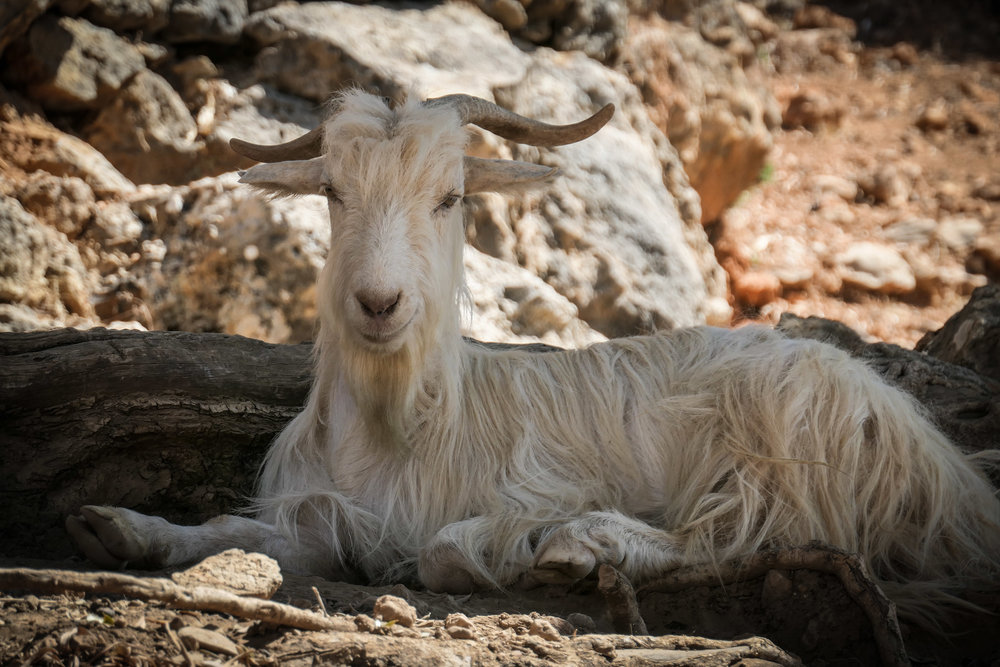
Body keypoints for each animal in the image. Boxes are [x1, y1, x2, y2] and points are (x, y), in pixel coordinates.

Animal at [70, 91, 1000, 628]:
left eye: (451, 197)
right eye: (332, 191)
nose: (379, 304)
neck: (402, 424)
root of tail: (951, 475)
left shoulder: (514, 489)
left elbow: (444, 549)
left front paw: (532, 549)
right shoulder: (323, 516)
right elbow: (236, 533)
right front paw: (121, 526)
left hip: (783, 441)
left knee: (736, 534)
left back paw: (583, 545)